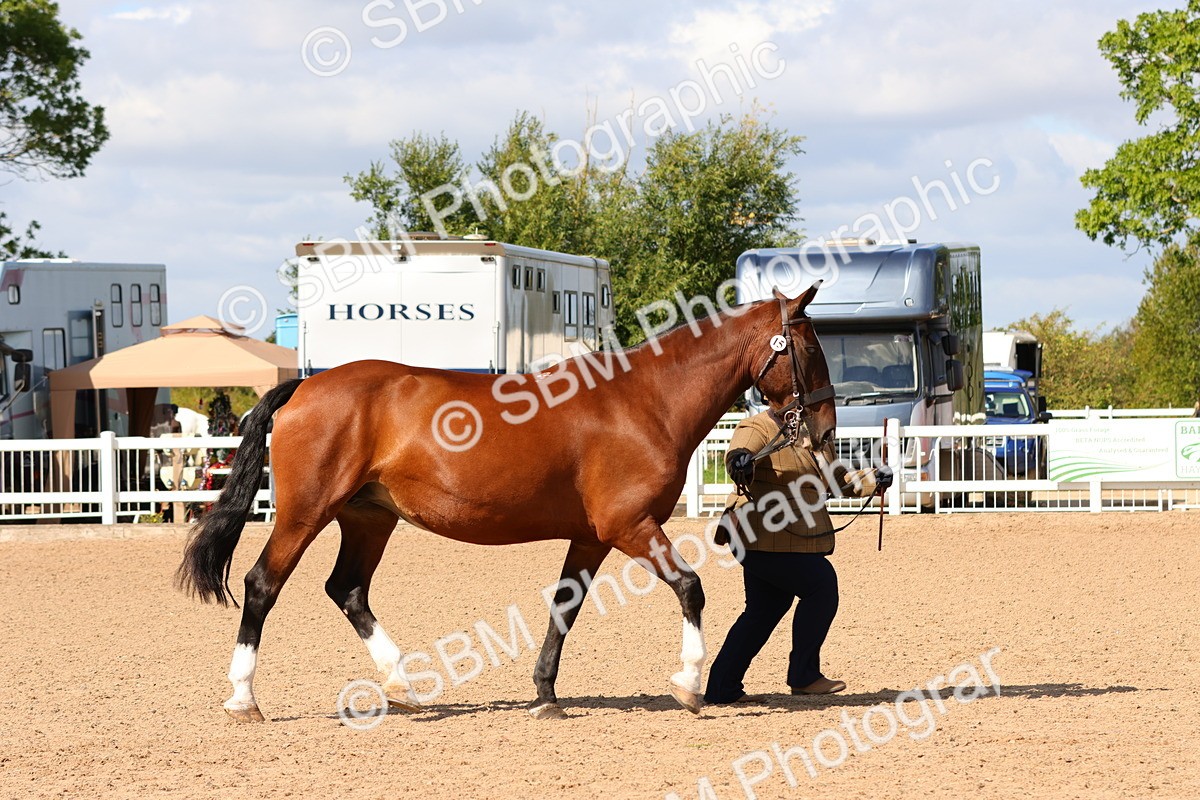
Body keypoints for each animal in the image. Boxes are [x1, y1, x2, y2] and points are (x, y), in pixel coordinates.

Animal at [176, 284, 836, 721]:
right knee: (263, 584)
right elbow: (690, 588)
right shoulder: (629, 526)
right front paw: (688, 683)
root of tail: (307, 385)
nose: (826, 431)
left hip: (369, 518)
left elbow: (565, 607)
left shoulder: (592, 536)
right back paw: (244, 698)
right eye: (810, 349)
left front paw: (545, 697)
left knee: (348, 590)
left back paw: (402, 684)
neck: (646, 400)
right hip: (304, 514)